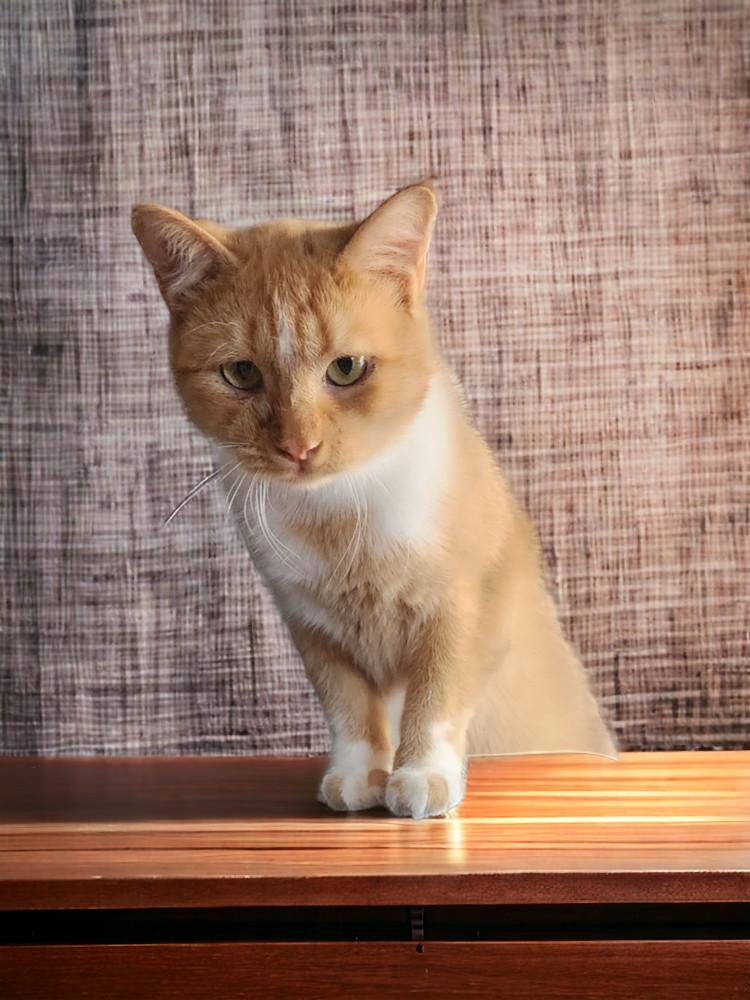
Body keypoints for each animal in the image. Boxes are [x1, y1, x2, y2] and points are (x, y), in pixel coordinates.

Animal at [134, 184, 616, 816]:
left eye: (346, 368)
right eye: (241, 373)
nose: (299, 446)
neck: (342, 518)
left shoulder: (464, 604)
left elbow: (435, 698)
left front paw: (420, 778)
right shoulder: (311, 624)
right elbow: (349, 709)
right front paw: (358, 777)